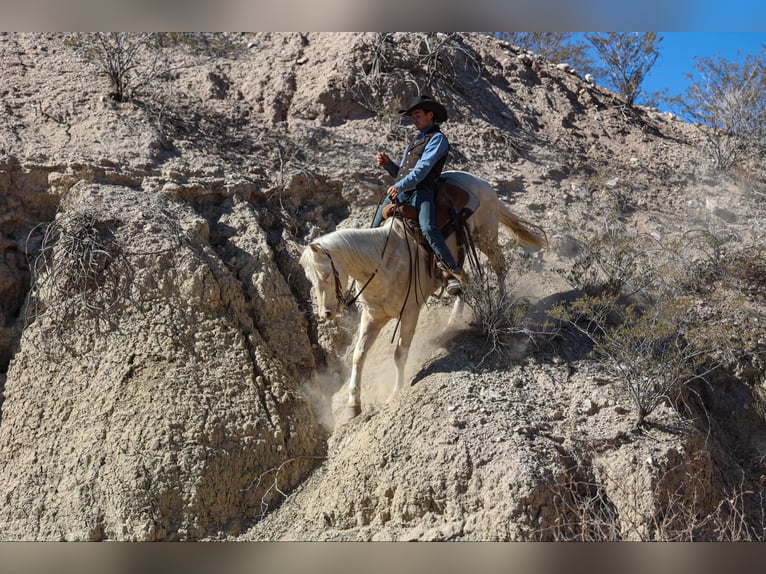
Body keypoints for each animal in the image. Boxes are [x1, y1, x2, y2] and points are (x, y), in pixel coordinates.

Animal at [300, 171, 544, 418]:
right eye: (309, 278)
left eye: (326, 275)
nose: (326, 314)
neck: (382, 261)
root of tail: (481, 182)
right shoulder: (372, 317)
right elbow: (358, 355)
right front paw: (353, 405)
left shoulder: (410, 312)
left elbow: (399, 354)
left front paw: (396, 392)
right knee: (463, 281)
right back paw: (452, 321)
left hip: (486, 236)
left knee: (499, 266)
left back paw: (502, 305)